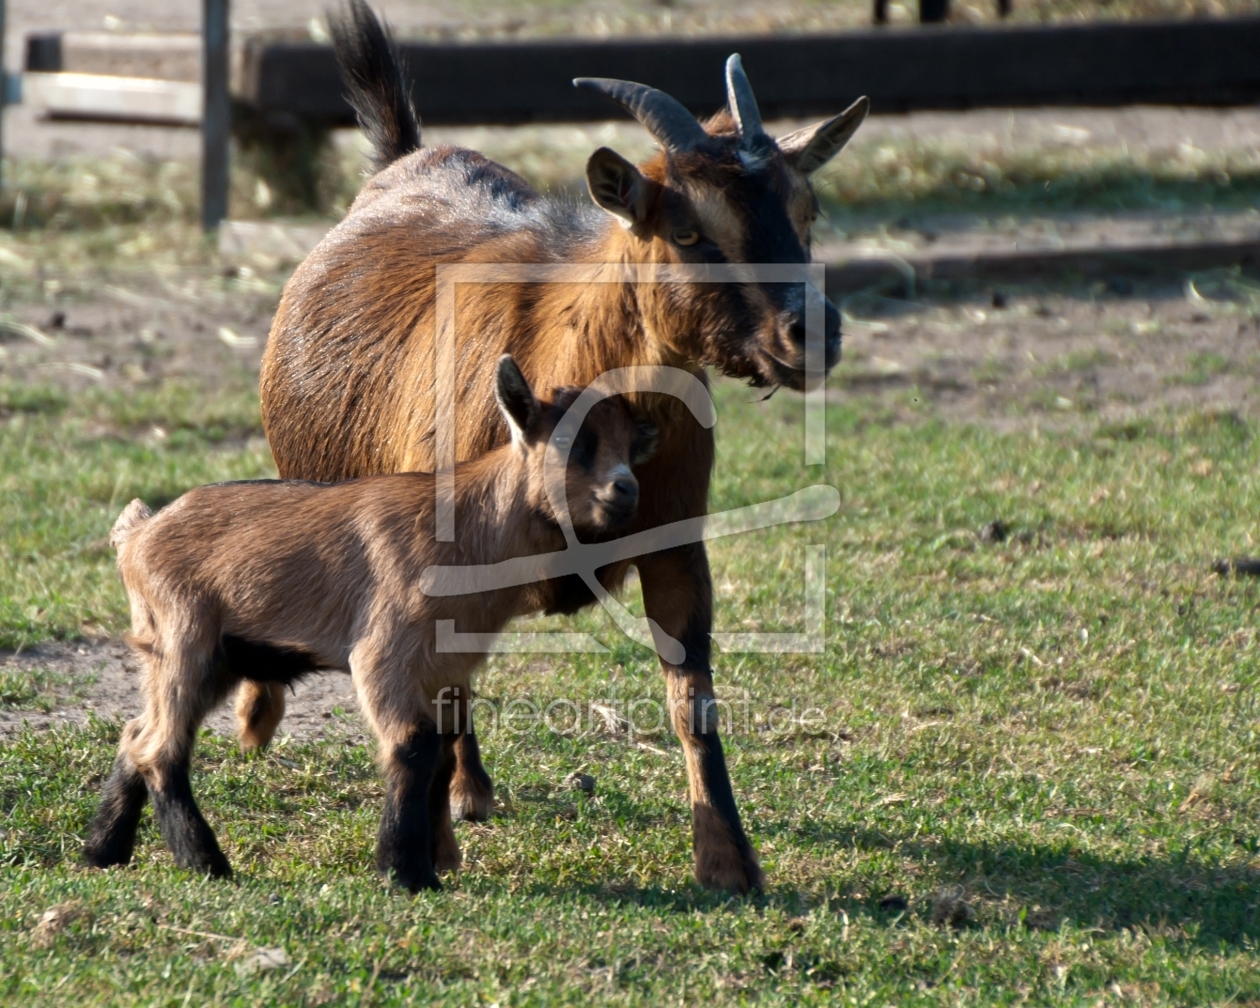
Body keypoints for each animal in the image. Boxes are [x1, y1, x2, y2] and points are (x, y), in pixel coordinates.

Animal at [83, 355, 655, 892]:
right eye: (573, 443)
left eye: (631, 446)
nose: (626, 490)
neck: (472, 530)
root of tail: (138, 534)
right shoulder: (385, 653)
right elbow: (414, 746)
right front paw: (406, 872)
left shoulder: (446, 668)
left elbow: (442, 755)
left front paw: (435, 858)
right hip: (186, 637)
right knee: (161, 748)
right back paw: (204, 862)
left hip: (206, 654)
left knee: (137, 733)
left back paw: (104, 850)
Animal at [240, 1, 861, 897]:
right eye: (687, 230)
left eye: (806, 211)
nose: (811, 333)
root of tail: (403, 160)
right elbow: (434, 699)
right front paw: (431, 850)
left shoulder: (677, 546)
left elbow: (693, 701)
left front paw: (728, 861)